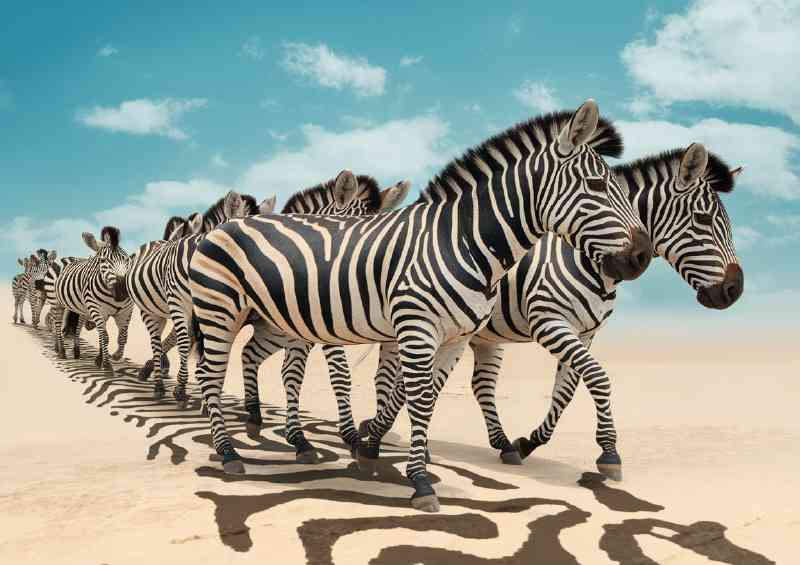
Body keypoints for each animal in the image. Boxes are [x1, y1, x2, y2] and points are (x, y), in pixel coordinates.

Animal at [41, 227, 132, 371]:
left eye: (127, 260)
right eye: (103, 261)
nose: (123, 292)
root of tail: (65, 258)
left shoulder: (125, 312)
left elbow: (122, 336)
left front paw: (111, 357)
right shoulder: (97, 309)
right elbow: (104, 336)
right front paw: (106, 365)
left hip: (79, 307)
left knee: (77, 327)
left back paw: (76, 351)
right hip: (56, 301)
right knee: (57, 323)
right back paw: (61, 351)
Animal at [126, 190, 271, 399]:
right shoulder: (179, 303)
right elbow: (185, 342)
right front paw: (181, 388)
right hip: (149, 309)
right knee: (155, 341)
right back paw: (158, 384)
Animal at [188, 100, 653, 512]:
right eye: (597, 186)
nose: (642, 257)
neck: (462, 241)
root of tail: (227, 222)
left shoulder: (455, 336)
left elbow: (421, 394)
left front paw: (384, 450)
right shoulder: (416, 326)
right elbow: (418, 396)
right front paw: (420, 481)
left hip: (270, 320)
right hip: (219, 310)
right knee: (211, 376)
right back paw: (228, 454)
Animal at [359, 143, 744, 481]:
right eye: (703, 219)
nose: (735, 290)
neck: (587, 256)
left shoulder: (585, 333)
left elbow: (567, 389)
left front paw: (528, 442)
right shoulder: (549, 322)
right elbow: (598, 378)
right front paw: (609, 453)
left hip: (477, 336)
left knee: (475, 384)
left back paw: (493, 443)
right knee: (392, 378)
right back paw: (379, 431)